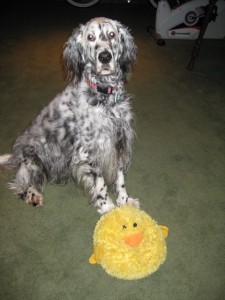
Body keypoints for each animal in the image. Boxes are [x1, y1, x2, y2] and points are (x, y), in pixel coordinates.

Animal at [0, 17, 139, 214]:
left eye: (112, 34)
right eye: (90, 37)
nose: (105, 57)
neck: (104, 98)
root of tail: (16, 154)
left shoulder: (119, 141)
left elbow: (119, 179)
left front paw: (125, 201)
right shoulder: (90, 150)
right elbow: (100, 183)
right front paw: (107, 208)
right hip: (35, 159)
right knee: (22, 182)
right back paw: (33, 195)